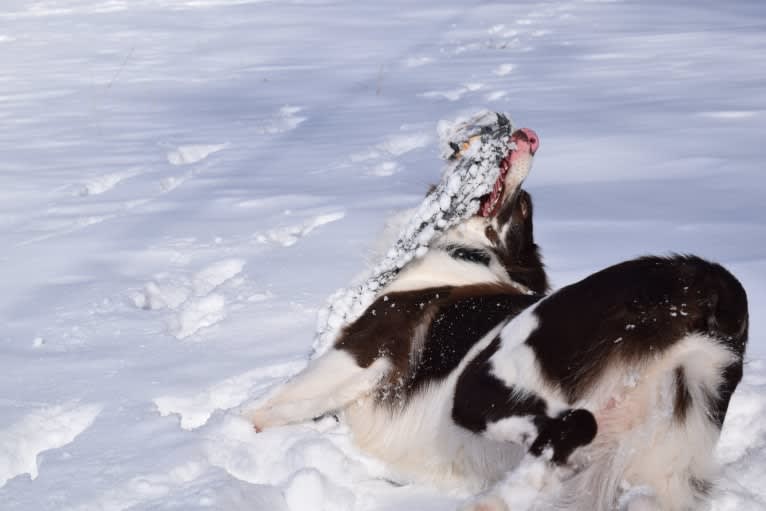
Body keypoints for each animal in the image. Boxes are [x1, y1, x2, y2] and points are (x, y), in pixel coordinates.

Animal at [254, 129, 752, 511]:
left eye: (525, 207)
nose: (526, 136)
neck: (474, 258)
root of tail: (699, 287)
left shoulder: (358, 355)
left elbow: (267, 409)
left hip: (482, 382)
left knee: (573, 424)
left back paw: (493, 502)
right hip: (660, 465)